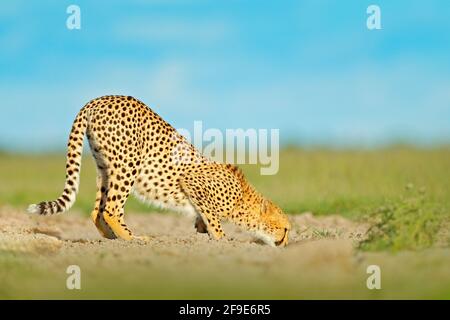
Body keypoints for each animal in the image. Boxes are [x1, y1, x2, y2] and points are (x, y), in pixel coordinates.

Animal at [26, 96, 290, 246]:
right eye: (285, 229)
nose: (286, 243)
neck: (244, 198)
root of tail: (98, 100)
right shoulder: (192, 182)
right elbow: (213, 218)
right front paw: (222, 240)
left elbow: (203, 217)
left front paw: (203, 232)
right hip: (127, 164)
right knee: (112, 208)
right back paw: (132, 239)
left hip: (105, 167)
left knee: (96, 210)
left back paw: (111, 238)